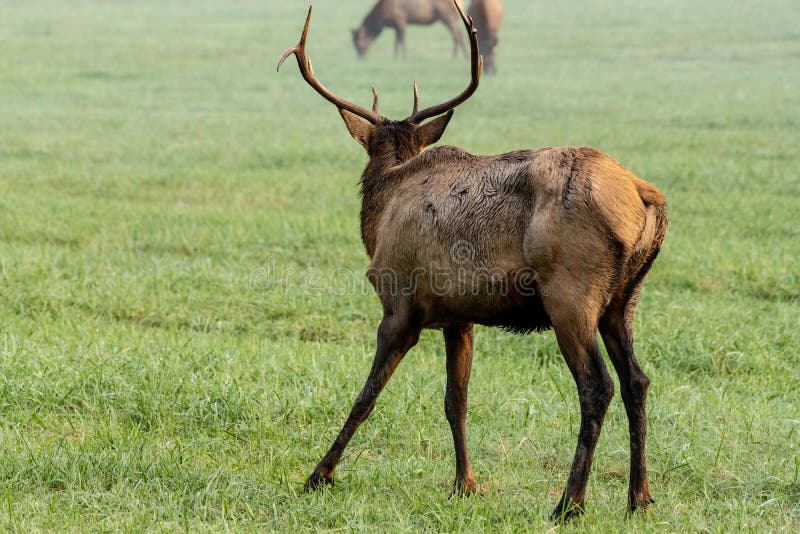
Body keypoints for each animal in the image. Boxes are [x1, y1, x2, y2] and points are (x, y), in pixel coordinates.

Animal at [278, 0, 667, 521]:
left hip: (571, 295)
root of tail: (646, 197)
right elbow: (455, 400)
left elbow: (366, 396)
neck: (380, 209)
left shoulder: (399, 304)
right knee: (636, 381)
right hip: (623, 299)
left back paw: (569, 502)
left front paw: (318, 475)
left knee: (597, 385)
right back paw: (639, 496)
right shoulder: (458, 316)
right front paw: (465, 483)